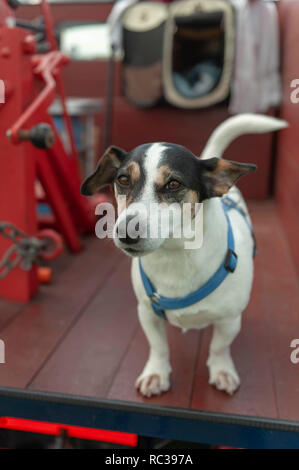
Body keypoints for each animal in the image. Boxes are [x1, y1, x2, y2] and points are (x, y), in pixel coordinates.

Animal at [82, 114, 288, 396]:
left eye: (174, 184)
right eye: (123, 180)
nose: (125, 233)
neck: (176, 256)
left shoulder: (229, 320)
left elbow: (219, 347)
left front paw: (222, 370)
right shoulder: (147, 312)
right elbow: (158, 347)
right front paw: (156, 374)